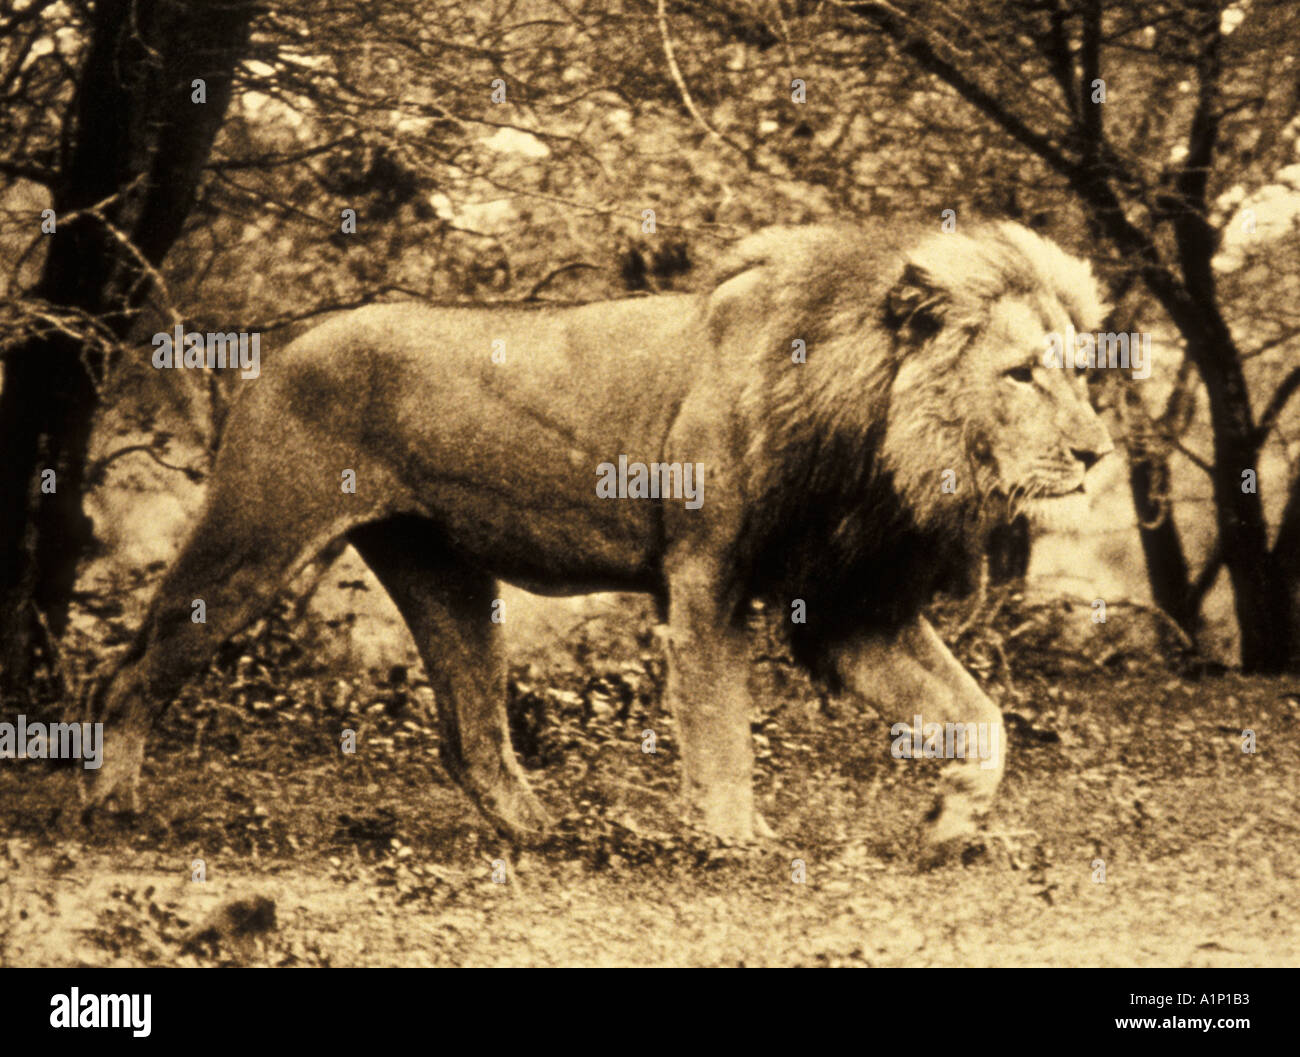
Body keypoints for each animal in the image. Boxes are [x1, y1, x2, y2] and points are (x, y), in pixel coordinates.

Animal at [85, 220, 1112, 855]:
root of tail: (284, 342)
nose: (1098, 453)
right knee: (129, 671)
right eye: (1021, 374)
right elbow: (722, 732)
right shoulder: (704, 584)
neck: (876, 439)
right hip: (255, 538)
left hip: (445, 576)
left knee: (471, 737)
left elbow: (981, 717)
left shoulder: (851, 605)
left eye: (1080, 373)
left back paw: (552, 836)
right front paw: (735, 842)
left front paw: (949, 822)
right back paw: (111, 800)